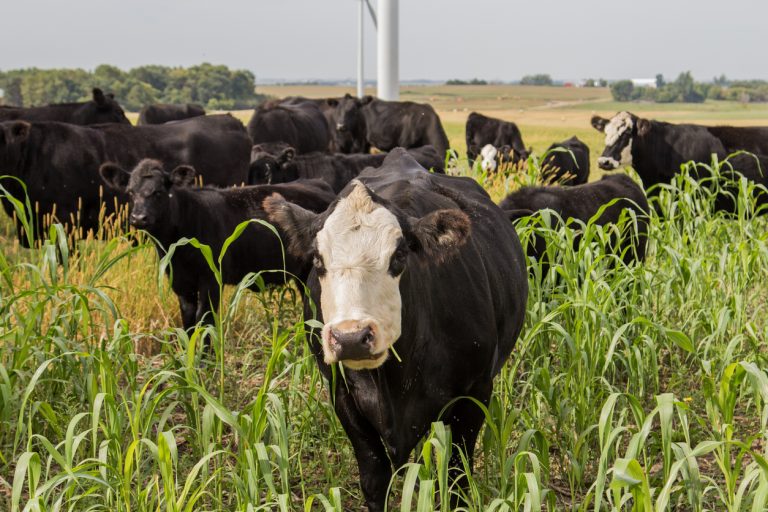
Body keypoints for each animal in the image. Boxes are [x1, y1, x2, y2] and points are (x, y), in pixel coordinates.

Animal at [99, 159, 335, 331]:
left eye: (158, 192)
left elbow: (205, 323)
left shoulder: (211, 280)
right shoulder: (181, 284)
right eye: (130, 192)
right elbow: (189, 324)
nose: (139, 218)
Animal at [263, 148, 527, 511]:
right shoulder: (343, 397)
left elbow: (457, 480)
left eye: (400, 255)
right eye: (317, 259)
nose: (351, 337)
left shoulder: (475, 392)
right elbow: (375, 481)